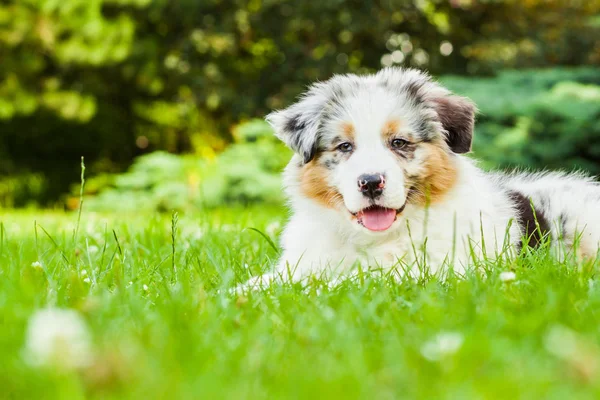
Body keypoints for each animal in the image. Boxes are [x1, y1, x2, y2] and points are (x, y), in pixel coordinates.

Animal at [239, 67, 600, 290]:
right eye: (344, 146)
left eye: (399, 143)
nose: (371, 182)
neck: (372, 239)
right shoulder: (302, 261)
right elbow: (271, 281)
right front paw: (239, 293)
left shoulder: (434, 270)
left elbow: (349, 282)